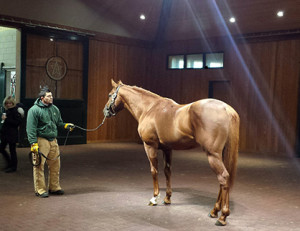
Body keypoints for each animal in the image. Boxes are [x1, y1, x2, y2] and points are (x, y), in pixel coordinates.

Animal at [103, 80, 239, 226]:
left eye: (110, 94)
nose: (105, 111)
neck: (149, 108)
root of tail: (226, 109)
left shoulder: (150, 146)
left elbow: (154, 171)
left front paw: (154, 198)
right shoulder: (167, 149)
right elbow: (167, 171)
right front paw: (167, 198)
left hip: (212, 155)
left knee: (223, 177)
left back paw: (222, 217)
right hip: (221, 154)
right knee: (223, 180)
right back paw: (214, 211)